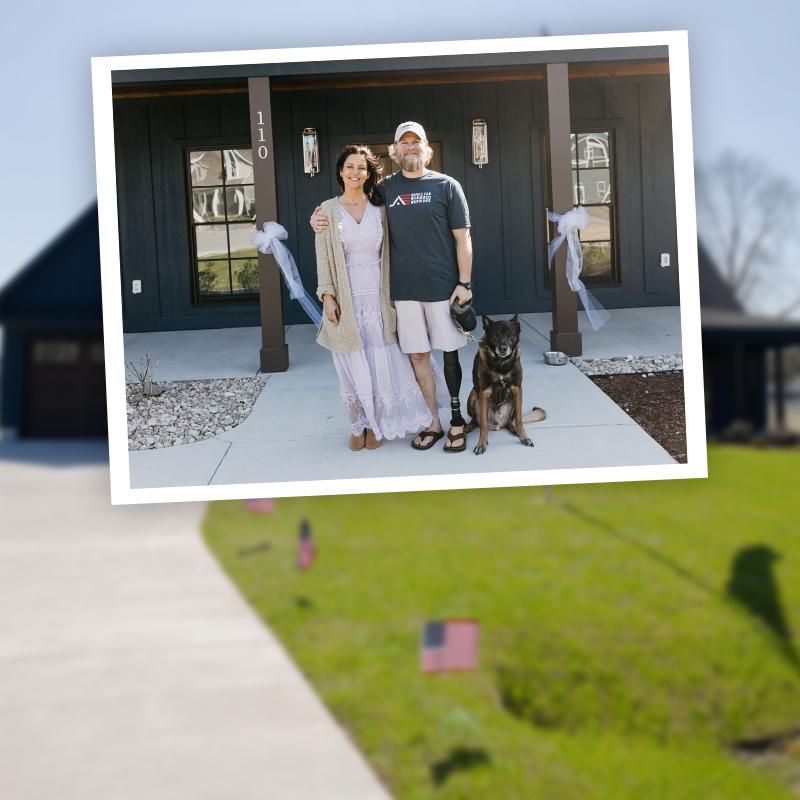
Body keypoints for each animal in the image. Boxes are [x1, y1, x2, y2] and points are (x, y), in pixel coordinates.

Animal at [466, 316, 548, 460]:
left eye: (510, 334)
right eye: (496, 335)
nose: (503, 348)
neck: (501, 363)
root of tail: (497, 425)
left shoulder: (517, 390)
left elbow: (520, 420)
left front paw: (524, 437)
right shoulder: (484, 393)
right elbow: (483, 426)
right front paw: (481, 444)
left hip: (515, 401)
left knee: (512, 420)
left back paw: (513, 428)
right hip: (473, 395)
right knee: (477, 420)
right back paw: (470, 426)